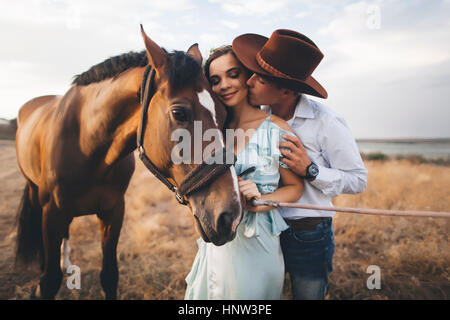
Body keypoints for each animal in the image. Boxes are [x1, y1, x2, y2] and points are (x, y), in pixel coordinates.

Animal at [14, 26, 243, 298]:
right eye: (179, 113)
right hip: (35, 192)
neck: (87, 146)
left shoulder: (113, 211)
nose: (230, 217)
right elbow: (49, 281)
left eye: (224, 112)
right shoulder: (53, 213)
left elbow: (109, 275)